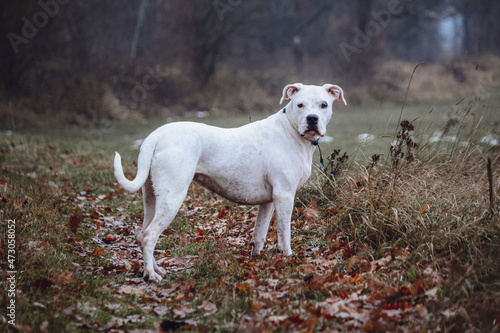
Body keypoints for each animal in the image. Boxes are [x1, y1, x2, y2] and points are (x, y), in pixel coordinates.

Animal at [114, 83, 346, 280]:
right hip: (173, 197)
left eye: (323, 105)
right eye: (300, 105)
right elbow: (284, 233)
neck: (291, 130)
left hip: (151, 198)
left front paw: (257, 259)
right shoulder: (285, 195)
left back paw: (154, 269)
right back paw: (151, 276)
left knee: (142, 234)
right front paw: (287, 257)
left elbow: (260, 234)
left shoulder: (269, 201)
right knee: (149, 236)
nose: (312, 118)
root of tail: (156, 135)